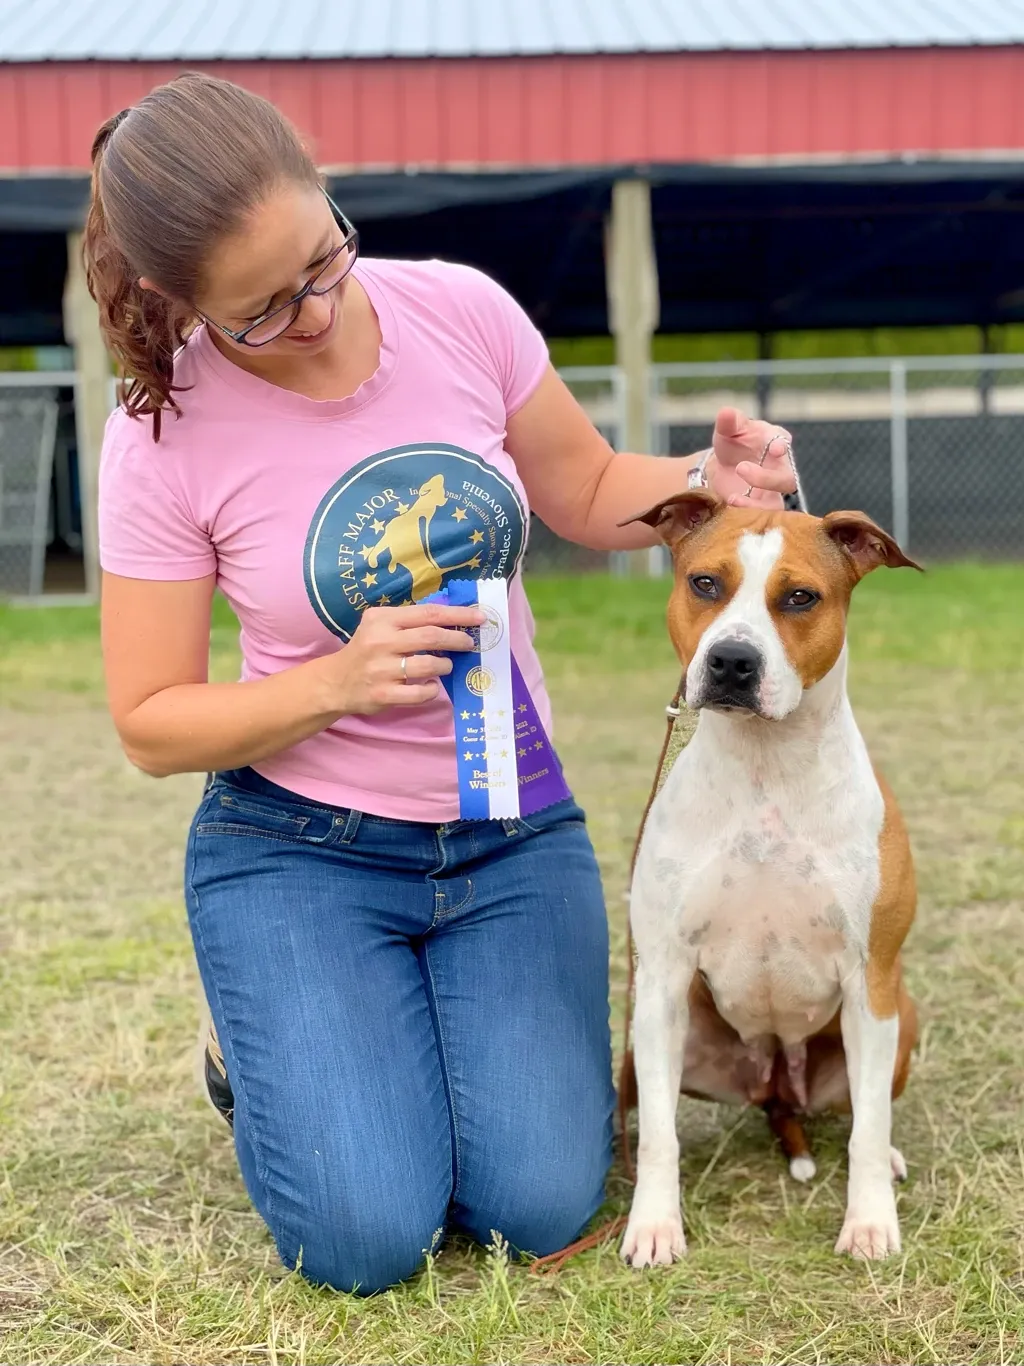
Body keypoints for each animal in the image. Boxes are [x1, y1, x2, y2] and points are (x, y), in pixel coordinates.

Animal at [622, 489, 928, 1256]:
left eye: (799, 597)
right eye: (705, 583)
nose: (732, 660)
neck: (766, 768)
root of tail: (777, 1090)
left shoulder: (871, 978)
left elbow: (869, 1126)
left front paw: (870, 1222)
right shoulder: (661, 976)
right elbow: (660, 1138)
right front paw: (654, 1226)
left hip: (897, 1018)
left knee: (865, 1114)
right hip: (659, 1033)